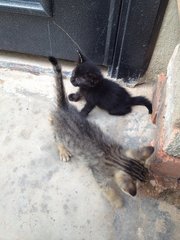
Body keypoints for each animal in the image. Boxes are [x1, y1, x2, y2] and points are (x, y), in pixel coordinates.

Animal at [48, 56, 154, 208]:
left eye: (147, 173)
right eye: (142, 181)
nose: (149, 179)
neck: (115, 156)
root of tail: (64, 108)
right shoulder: (99, 174)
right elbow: (108, 190)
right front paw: (117, 202)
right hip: (61, 134)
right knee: (57, 138)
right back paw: (63, 150)